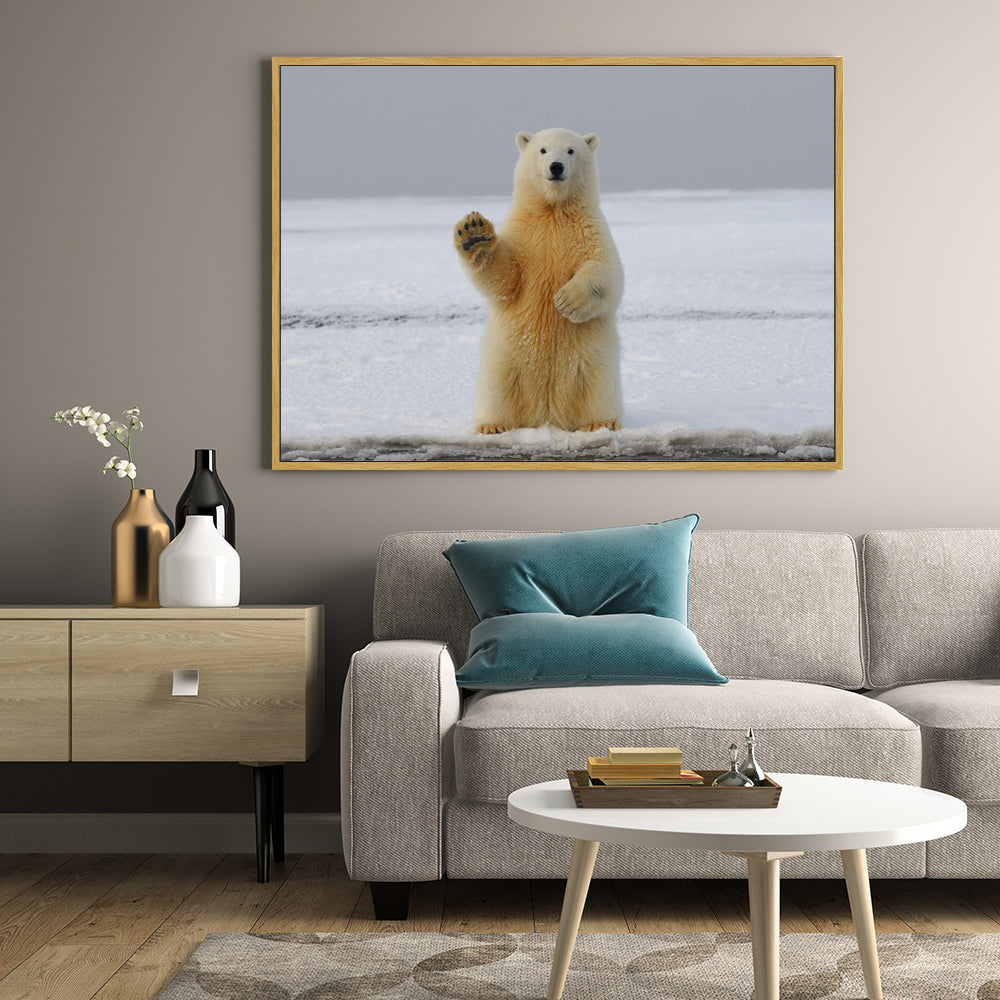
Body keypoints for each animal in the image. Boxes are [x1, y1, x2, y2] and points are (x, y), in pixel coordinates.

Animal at [454, 127, 624, 435]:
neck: (553, 210)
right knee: (497, 389)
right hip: (505, 357)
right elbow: (506, 279)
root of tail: (547, 414)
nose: (556, 167)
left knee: (598, 388)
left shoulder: (590, 231)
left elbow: (606, 272)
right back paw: (491, 426)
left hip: (594, 360)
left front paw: (567, 301)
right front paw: (474, 233)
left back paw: (601, 423)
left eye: (570, 150)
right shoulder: (524, 234)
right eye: (543, 150)